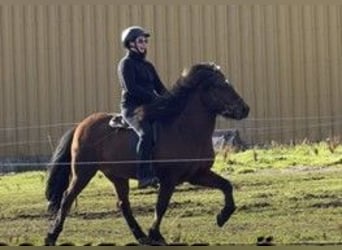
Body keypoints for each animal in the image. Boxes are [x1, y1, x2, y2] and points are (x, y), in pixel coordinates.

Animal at [44, 61, 250, 245]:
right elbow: (161, 205)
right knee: (67, 198)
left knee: (123, 205)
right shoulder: (169, 179)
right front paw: (155, 234)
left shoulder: (197, 174)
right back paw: (51, 236)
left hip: (117, 176)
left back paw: (140, 236)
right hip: (83, 172)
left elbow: (226, 185)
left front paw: (223, 216)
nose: (244, 109)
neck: (184, 129)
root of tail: (81, 125)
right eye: (219, 85)